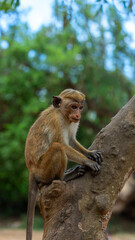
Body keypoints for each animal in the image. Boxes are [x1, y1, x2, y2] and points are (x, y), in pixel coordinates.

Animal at [24, 88, 103, 240]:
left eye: (80, 107)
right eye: (73, 106)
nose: (78, 114)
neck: (62, 113)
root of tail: (30, 169)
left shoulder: (73, 122)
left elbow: (71, 140)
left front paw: (90, 153)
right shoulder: (57, 122)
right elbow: (63, 145)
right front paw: (89, 162)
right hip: (42, 169)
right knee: (57, 147)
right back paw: (64, 177)